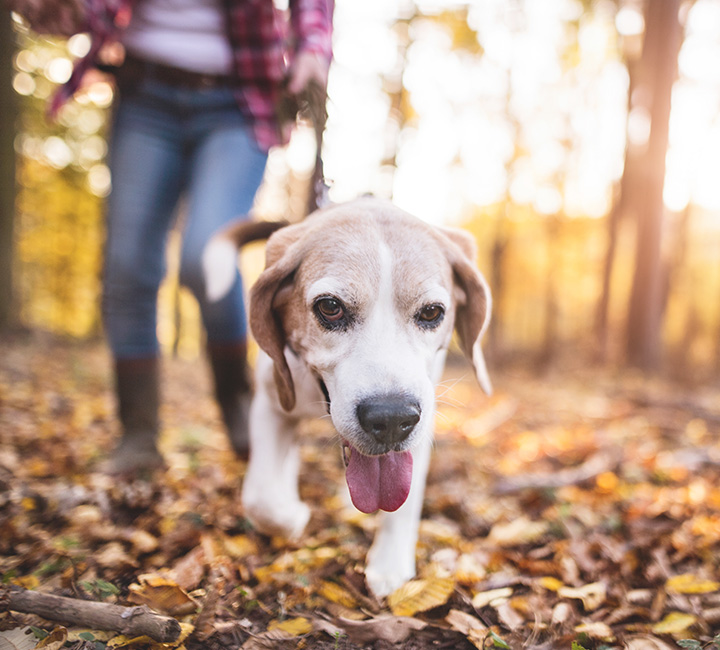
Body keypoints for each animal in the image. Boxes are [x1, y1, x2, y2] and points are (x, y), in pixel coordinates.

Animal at [205, 199, 492, 596]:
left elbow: (404, 504)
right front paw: (293, 516)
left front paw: (389, 564)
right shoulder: (272, 404)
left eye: (432, 312)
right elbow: (261, 498)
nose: (391, 419)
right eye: (330, 307)